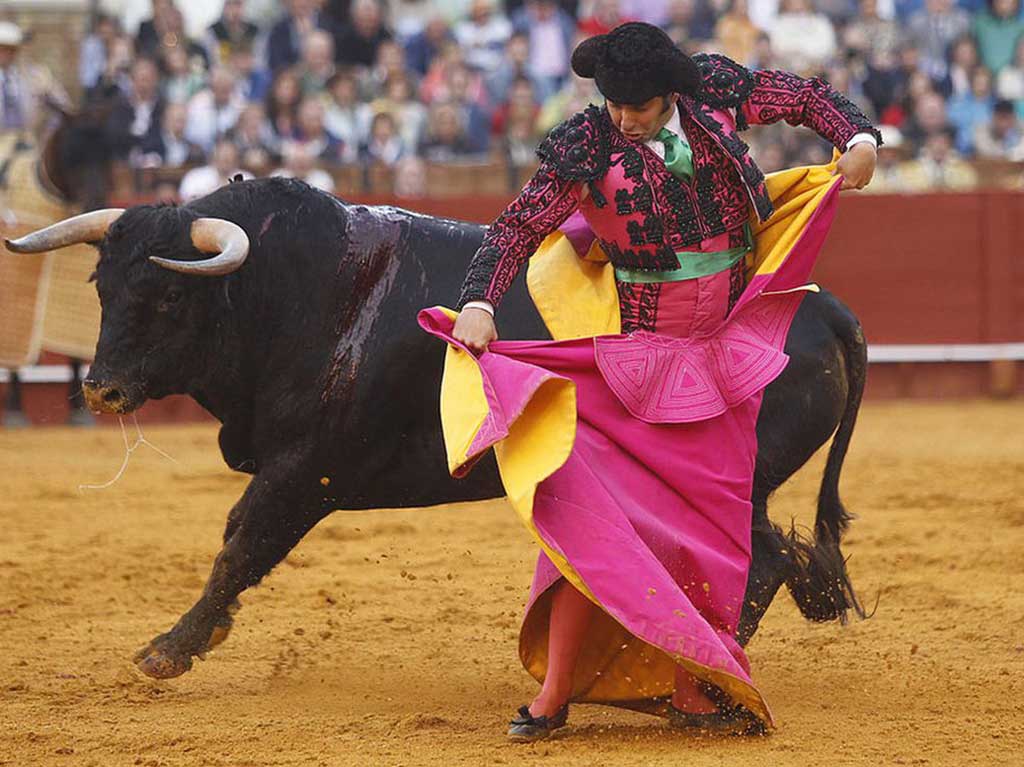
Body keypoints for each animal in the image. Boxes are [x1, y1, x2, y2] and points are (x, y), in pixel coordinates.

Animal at [4, 178, 864, 675]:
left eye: (170, 297)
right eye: (101, 285)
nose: (101, 388)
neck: (294, 292)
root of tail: (820, 304)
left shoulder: (308, 470)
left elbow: (241, 545)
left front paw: (170, 648)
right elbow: (239, 543)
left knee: (756, 562)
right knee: (770, 558)